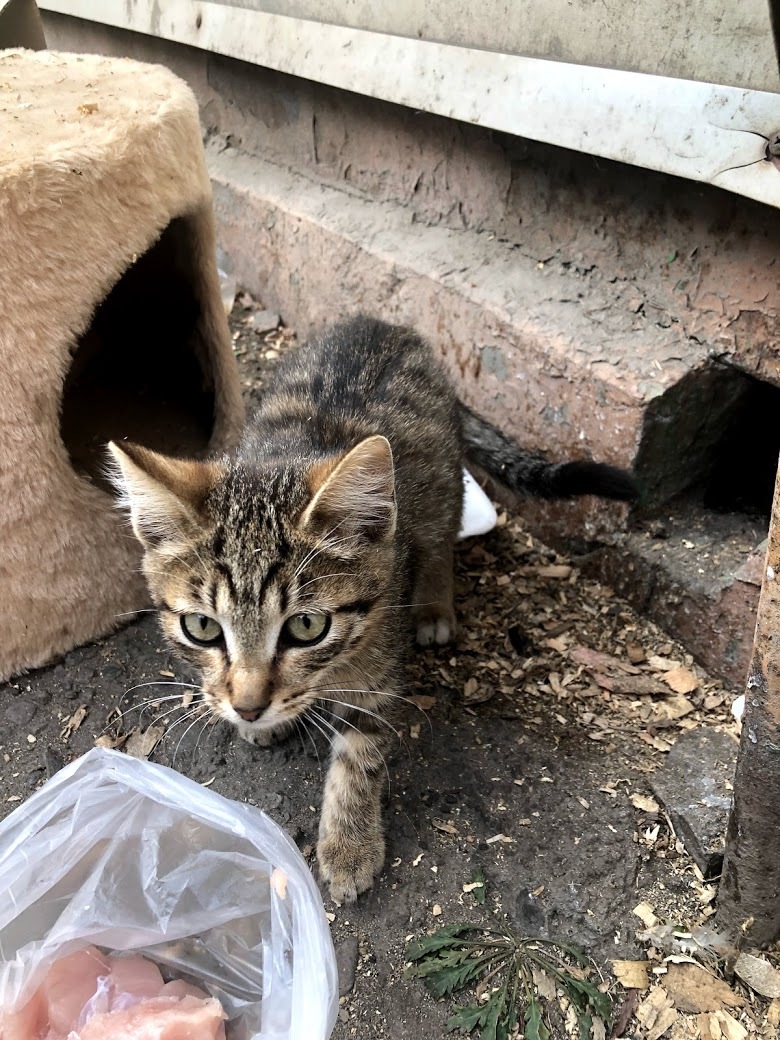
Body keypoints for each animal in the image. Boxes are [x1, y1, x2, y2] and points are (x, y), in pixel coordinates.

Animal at [108, 316, 636, 902]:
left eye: (306, 626)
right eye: (202, 627)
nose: (247, 707)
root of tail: (384, 324)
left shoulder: (381, 674)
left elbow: (360, 755)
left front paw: (349, 845)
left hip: (442, 484)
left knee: (442, 536)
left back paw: (435, 608)